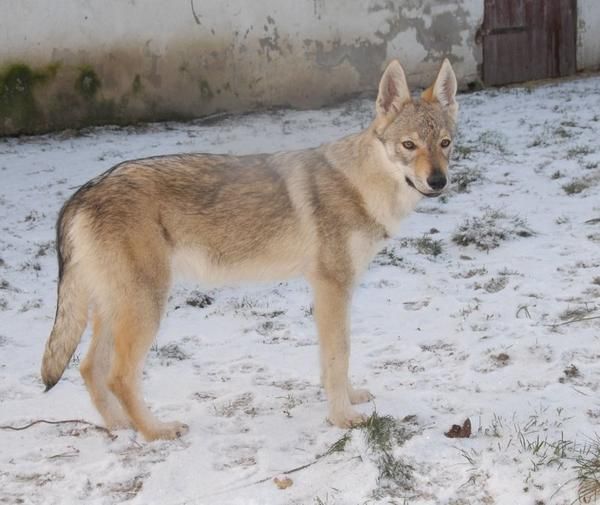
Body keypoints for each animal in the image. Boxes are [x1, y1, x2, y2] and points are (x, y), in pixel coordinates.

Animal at [41, 58, 454, 438]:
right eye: (409, 145)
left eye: (445, 143)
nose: (438, 181)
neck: (362, 184)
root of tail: (80, 194)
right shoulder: (332, 287)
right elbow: (339, 355)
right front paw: (343, 418)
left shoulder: (332, 291)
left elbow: (333, 359)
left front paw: (348, 399)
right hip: (146, 307)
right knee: (119, 376)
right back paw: (156, 431)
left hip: (117, 309)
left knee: (89, 368)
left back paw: (120, 428)